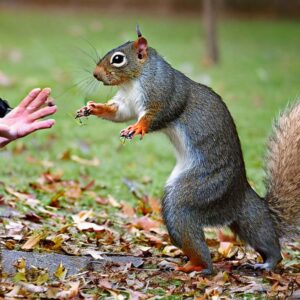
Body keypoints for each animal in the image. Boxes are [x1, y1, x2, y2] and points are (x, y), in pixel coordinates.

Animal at [75, 25, 300, 274]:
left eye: (118, 59)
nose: (95, 74)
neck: (134, 81)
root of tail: (240, 190)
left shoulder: (165, 93)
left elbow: (159, 113)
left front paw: (138, 127)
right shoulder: (126, 103)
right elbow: (118, 113)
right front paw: (92, 108)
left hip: (201, 191)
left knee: (196, 237)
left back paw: (197, 266)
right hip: (240, 217)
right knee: (258, 229)